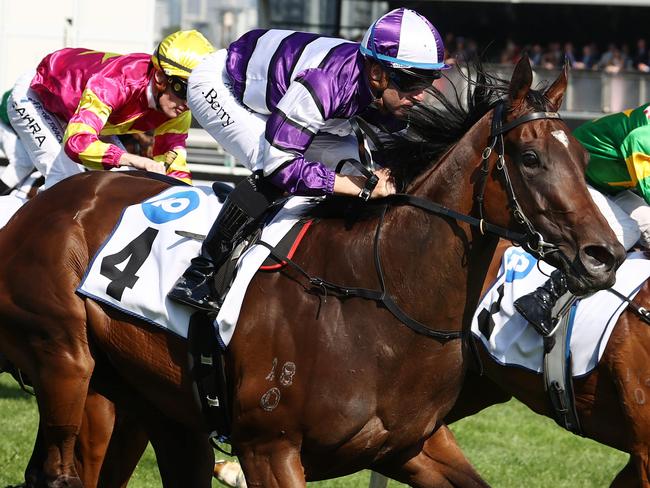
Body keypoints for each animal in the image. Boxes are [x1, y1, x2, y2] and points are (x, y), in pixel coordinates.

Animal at [0, 58, 624, 488]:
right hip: (65, 358)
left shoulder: (412, 446)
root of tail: (49, 201)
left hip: (151, 404)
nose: (606, 256)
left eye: (585, 161)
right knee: (55, 468)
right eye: (530, 158)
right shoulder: (269, 449)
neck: (380, 296)